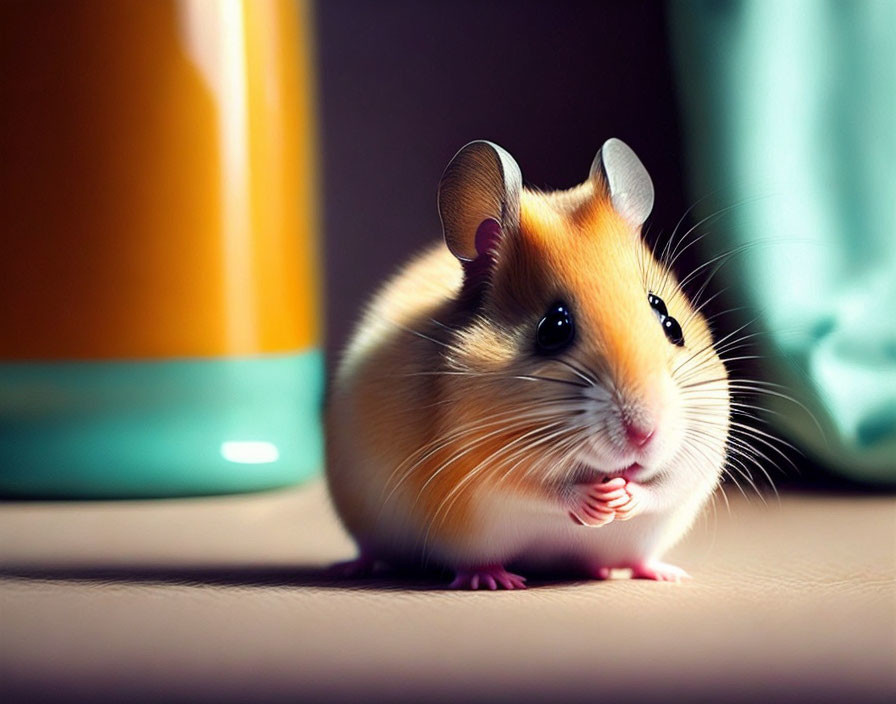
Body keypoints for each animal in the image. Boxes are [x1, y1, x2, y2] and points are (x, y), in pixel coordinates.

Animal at [326, 138, 732, 588]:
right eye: (553, 329)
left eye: (669, 320)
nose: (644, 435)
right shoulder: (482, 462)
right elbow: (540, 489)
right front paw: (600, 501)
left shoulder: (702, 447)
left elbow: (665, 485)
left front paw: (622, 498)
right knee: (404, 554)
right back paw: (482, 578)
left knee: (636, 557)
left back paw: (657, 573)